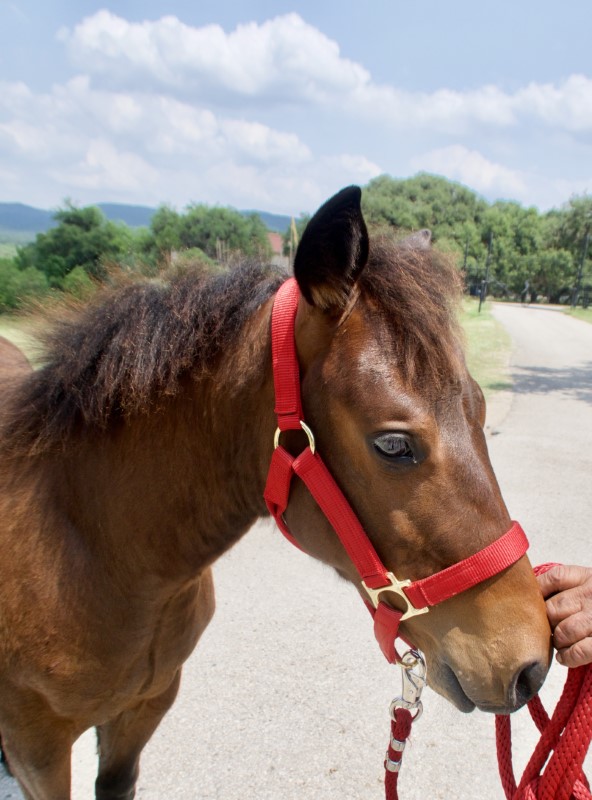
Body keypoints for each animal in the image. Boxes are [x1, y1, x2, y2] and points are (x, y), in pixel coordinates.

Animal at [0, 189, 552, 800]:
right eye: (392, 443)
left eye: (479, 407)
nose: (532, 663)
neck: (94, 551)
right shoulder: (36, 746)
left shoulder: (144, 709)